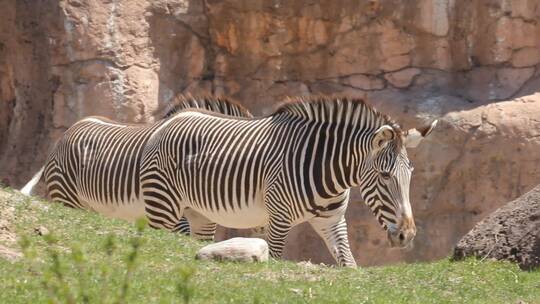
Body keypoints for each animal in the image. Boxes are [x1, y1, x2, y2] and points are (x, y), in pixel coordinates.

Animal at [137, 95, 436, 266]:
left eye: (410, 175)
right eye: (385, 176)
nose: (407, 235)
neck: (327, 169)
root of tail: (171, 119)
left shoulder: (332, 221)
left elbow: (349, 264)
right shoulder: (279, 220)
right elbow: (276, 257)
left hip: (199, 213)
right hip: (168, 207)